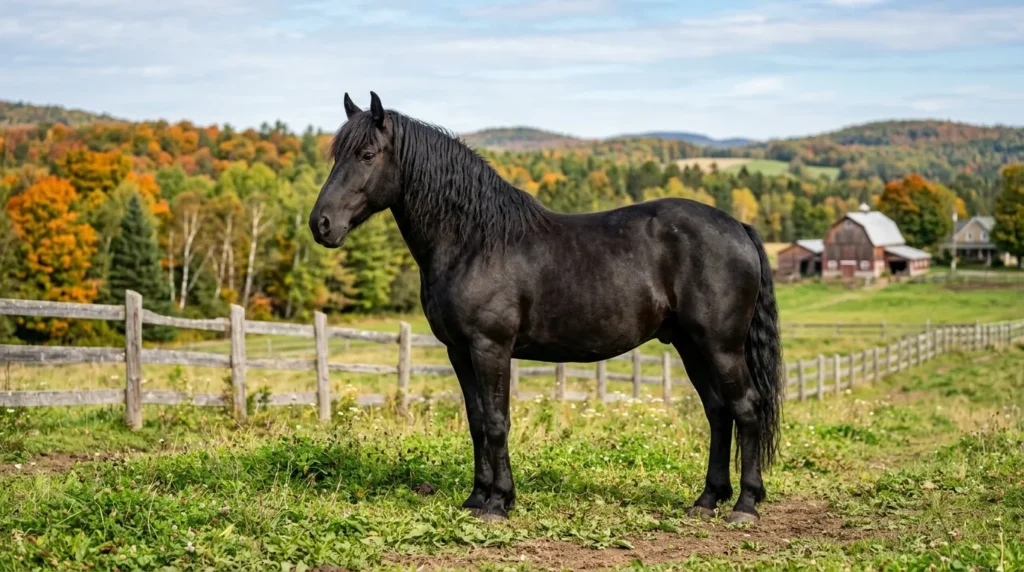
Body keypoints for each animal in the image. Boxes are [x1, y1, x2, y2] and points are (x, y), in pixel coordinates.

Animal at [309, 92, 783, 524]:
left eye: (367, 154)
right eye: (335, 155)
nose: (321, 225)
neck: (474, 242)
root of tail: (737, 226)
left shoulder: (491, 347)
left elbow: (497, 422)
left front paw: (499, 504)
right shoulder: (459, 351)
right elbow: (476, 421)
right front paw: (476, 498)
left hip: (720, 346)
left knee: (745, 407)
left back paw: (745, 505)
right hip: (690, 346)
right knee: (718, 411)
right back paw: (707, 500)